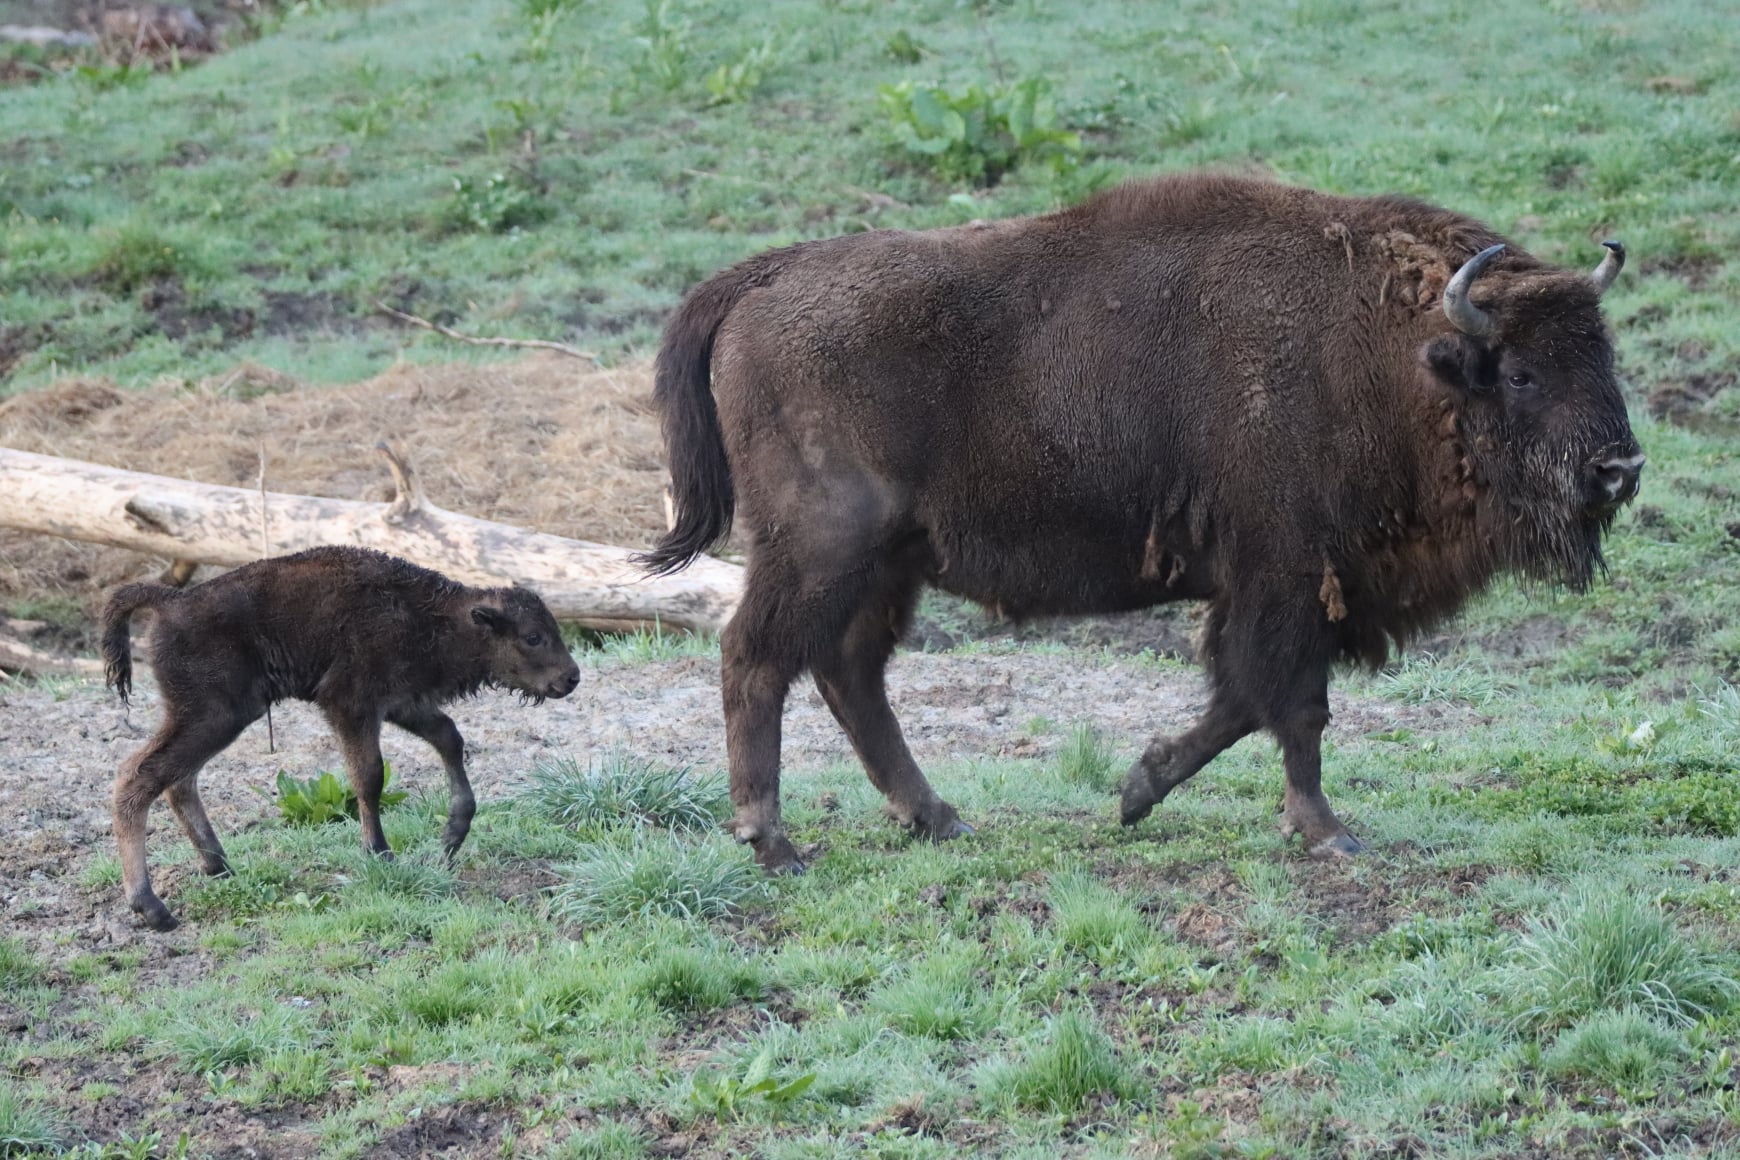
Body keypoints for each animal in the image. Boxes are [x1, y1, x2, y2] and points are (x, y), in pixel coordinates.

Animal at [100, 546, 577, 932]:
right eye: (533, 636)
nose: (571, 677)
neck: (433, 615)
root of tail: (173, 600)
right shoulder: (350, 705)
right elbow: (369, 776)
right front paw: (380, 853)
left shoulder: (405, 704)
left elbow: (450, 740)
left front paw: (451, 837)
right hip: (214, 715)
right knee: (139, 776)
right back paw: (152, 907)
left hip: (215, 716)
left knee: (178, 781)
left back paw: (219, 867)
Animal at [640, 172, 1642, 869]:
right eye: (1522, 372)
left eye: (1604, 356)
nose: (1619, 470)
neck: (1391, 350)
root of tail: (766, 275)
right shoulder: (1288, 575)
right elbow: (1293, 705)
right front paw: (1325, 832)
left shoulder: (1282, 588)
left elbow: (1245, 700)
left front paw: (1137, 791)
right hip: (819, 546)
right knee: (757, 658)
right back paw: (774, 843)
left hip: (888, 561)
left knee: (849, 673)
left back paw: (939, 819)